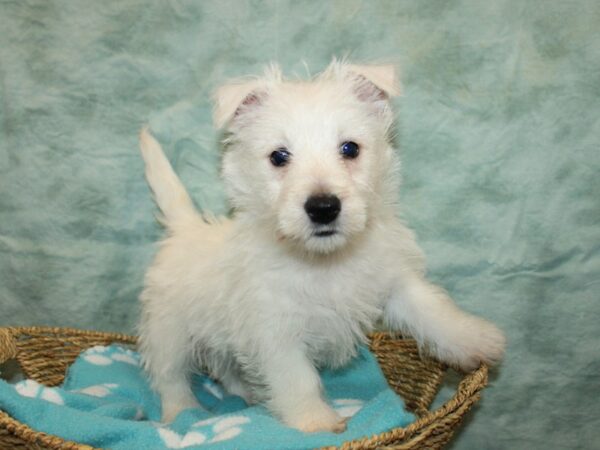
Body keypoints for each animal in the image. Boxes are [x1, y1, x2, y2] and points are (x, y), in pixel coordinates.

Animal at [138, 59, 504, 432]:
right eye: (279, 156)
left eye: (350, 148)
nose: (323, 207)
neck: (325, 261)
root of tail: (185, 228)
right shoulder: (275, 328)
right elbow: (296, 378)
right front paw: (316, 422)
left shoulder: (393, 281)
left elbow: (431, 309)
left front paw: (477, 340)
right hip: (169, 332)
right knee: (170, 377)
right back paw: (181, 413)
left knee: (226, 367)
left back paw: (248, 394)